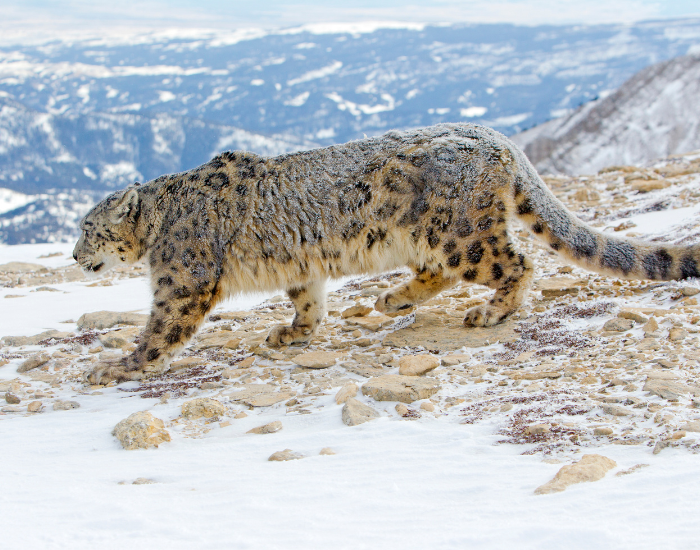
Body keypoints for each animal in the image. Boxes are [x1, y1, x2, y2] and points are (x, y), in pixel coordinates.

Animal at [74, 123, 700, 384]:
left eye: (89, 228)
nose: (76, 256)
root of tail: (497, 139)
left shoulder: (182, 281)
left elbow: (159, 331)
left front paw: (115, 367)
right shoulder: (301, 269)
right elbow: (308, 300)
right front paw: (291, 332)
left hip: (460, 232)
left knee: (515, 263)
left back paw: (489, 311)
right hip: (430, 236)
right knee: (440, 272)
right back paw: (393, 298)